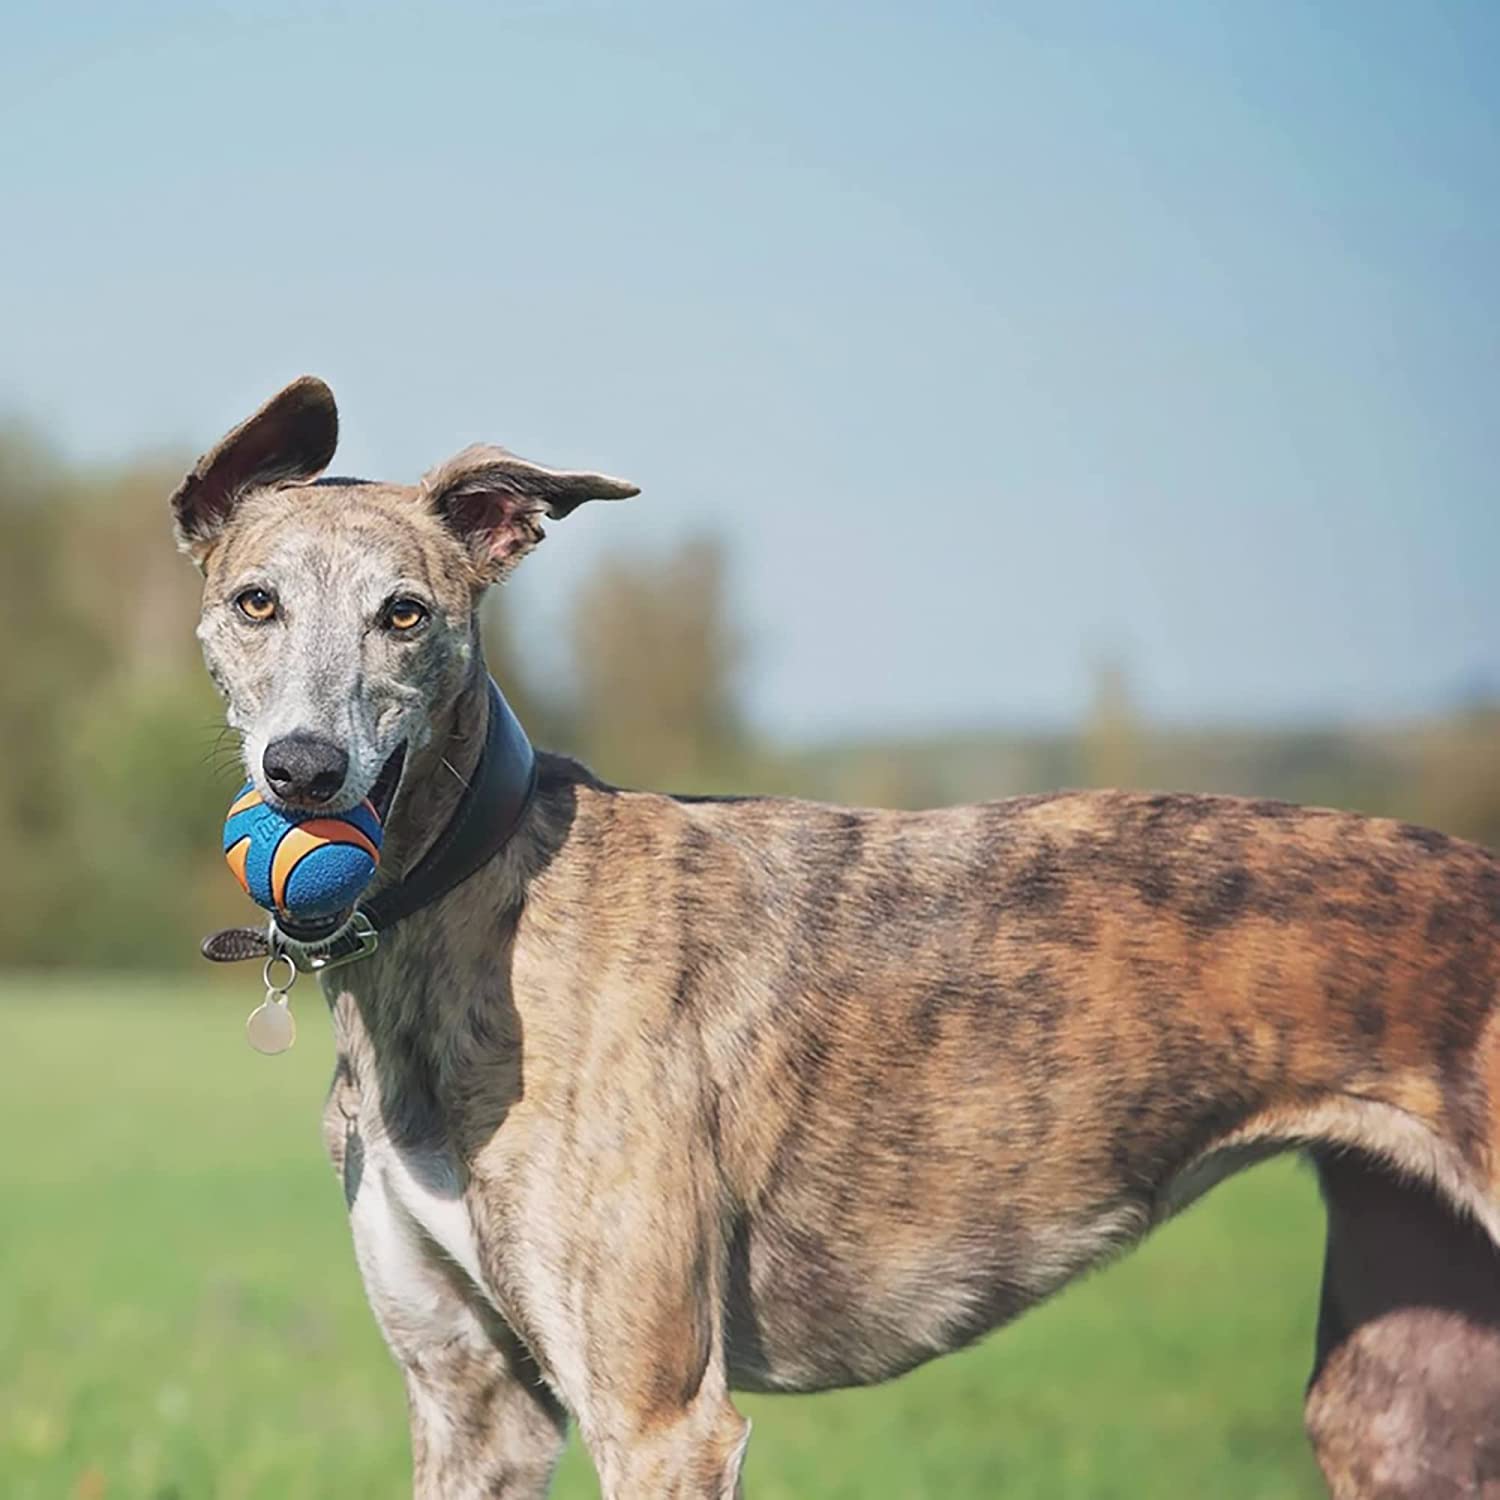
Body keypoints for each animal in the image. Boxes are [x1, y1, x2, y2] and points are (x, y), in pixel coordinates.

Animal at [175, 378, 1500, 1500]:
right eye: (256, 602)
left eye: (404, 614)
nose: (303, 773)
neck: (477, 903)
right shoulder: (473, 1402)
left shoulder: (661, 1418)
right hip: (1400, 1392)